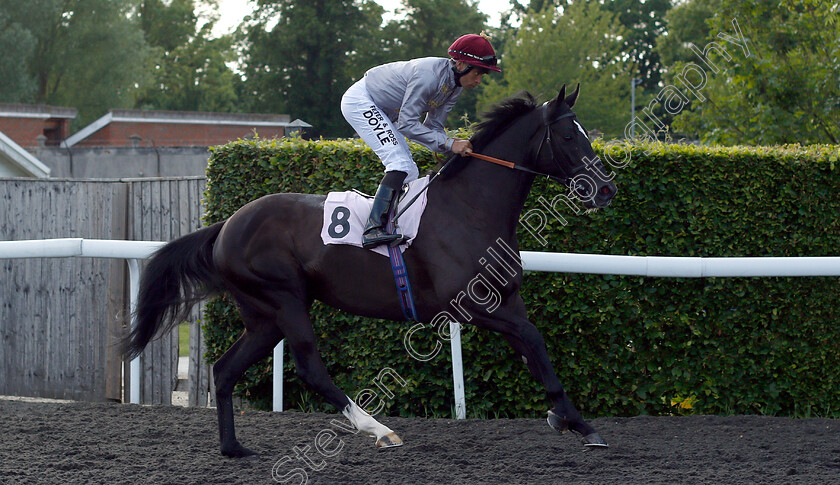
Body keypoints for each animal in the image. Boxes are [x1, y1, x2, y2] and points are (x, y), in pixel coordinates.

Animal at [128, 84, 620, 458]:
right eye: (570, 137)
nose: (606, 189)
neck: (470, 208)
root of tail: (226, 224)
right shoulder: (474, 306)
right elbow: (534, 340)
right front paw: (573, 420)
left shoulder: (507, 300)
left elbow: (535, 350)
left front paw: (569, 418)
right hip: (284, 299)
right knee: (310, 368)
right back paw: (378, 429)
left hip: (263, 316)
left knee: (226, 370)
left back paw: (234, 448)